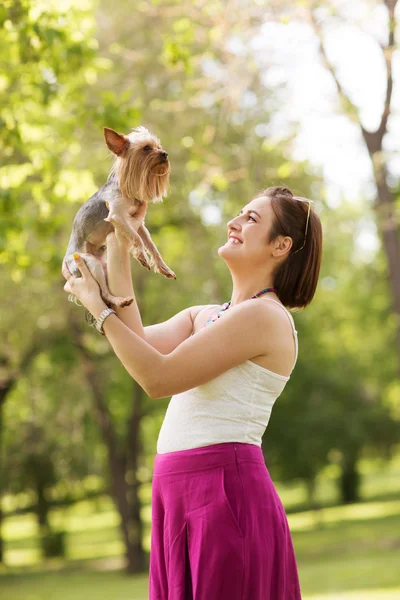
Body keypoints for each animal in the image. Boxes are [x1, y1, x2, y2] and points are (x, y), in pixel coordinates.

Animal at [62, 124, 175, 308]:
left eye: (159, 146)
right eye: (146, 148)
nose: (164, 153)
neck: (128, 190)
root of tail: (66, 260)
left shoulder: (139, 224)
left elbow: (151, 245)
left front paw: (163, 267)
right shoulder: (117, 215)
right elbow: (137, 238)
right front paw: (141, 255)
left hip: (105, 267)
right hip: (90, 264)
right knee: (103, 293)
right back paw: (120, 300)